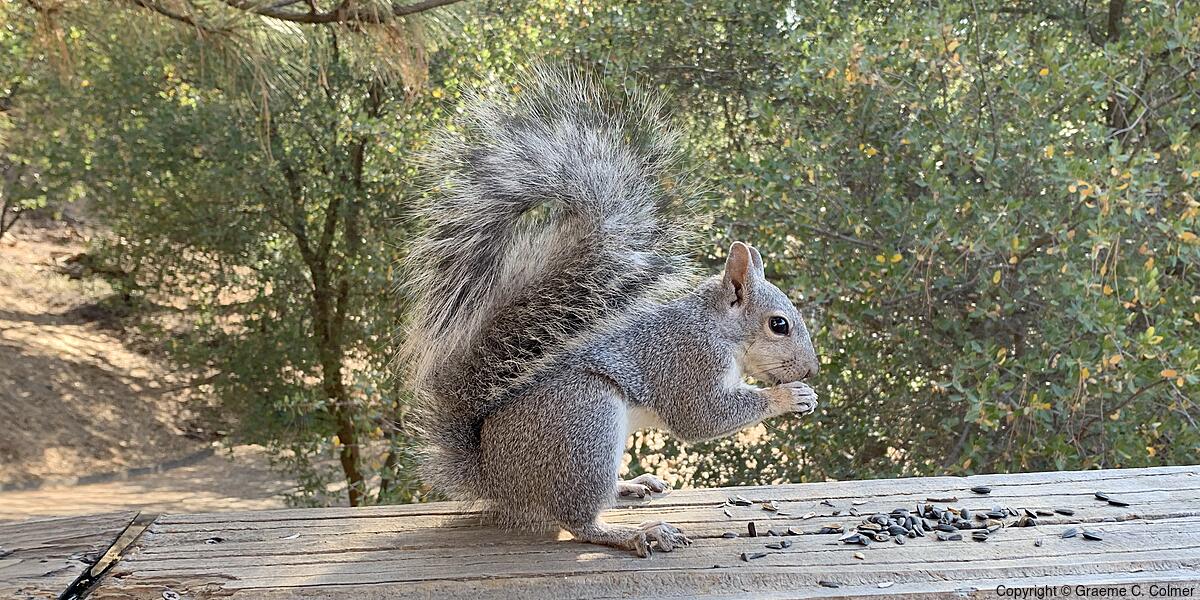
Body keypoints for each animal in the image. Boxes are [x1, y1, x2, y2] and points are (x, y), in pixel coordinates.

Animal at [403, 65, 820, 557]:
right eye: (779, 325)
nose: (811, 371)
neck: (718, 329)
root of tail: (494, 475)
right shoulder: (688, 362)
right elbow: (702, 417)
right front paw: (790, 397)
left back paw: (631, 486)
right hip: (586, 420)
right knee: (579, 520)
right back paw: (637, 533)